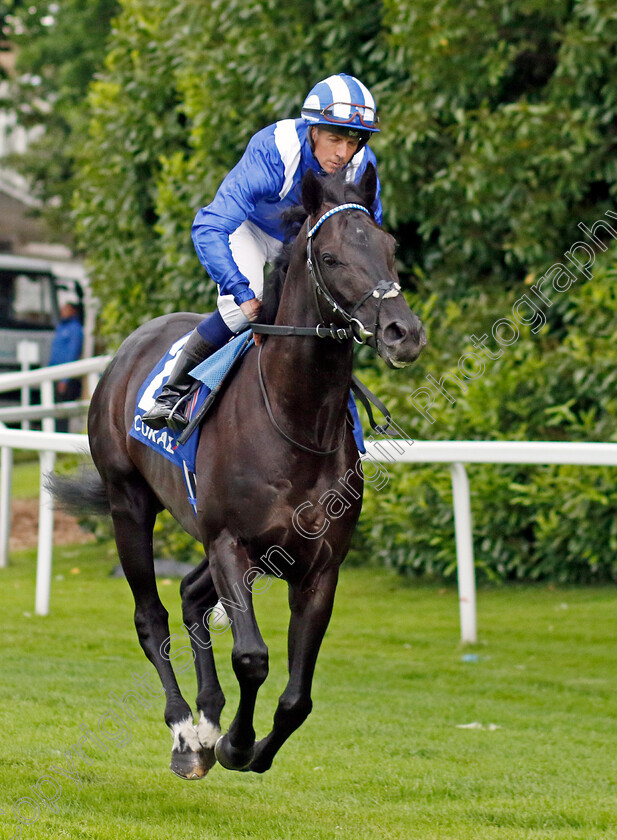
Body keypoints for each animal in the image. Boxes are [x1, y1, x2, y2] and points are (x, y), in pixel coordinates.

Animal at [56, 166, 424, 780]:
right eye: (329, 257)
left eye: (390, 248)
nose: (404, 332)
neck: (296, 423)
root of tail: (128, 347)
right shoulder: (230, 542)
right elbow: (251, 656)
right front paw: (234, 742)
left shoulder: (319, 566)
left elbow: (298, 697)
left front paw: (249, 746)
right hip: (128, 502)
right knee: (151, 616)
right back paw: (187, 730)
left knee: (188, 595)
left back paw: (206, 717)